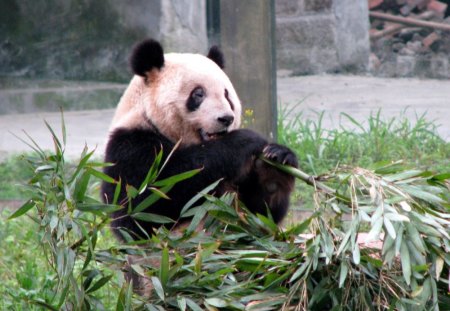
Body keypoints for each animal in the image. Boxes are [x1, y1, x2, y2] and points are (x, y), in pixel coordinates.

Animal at [102, 37, 298, 240]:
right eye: (198, 94)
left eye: (227, 95)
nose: (226, 118)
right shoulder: (130, 145)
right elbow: (145, 205)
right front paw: (245, 140)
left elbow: (260, 214)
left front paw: (275, 162)